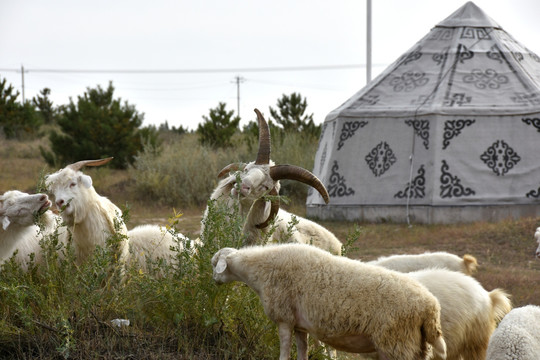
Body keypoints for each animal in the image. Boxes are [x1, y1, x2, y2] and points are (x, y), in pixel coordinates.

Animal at [211, 242, 448, 360]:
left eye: (215, 263)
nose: (214, 280)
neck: (258, 270)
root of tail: (431, 307)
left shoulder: (284, 319)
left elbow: (284, 354)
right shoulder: (300, 325)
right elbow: (303, 352)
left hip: (397, 343)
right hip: (416, 345)